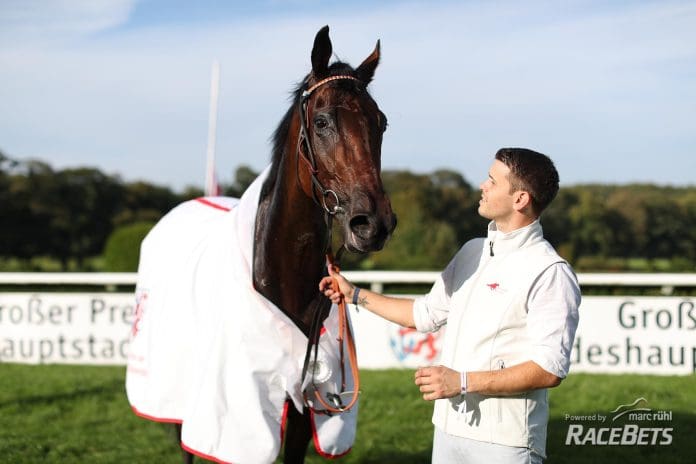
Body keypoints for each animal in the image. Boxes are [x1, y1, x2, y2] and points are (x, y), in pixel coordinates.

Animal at [125, 26, 396, 464]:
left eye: (381, 123)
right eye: (322, 121)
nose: (373, 223)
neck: (279, 275)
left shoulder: (306, 406)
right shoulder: (242, 410)